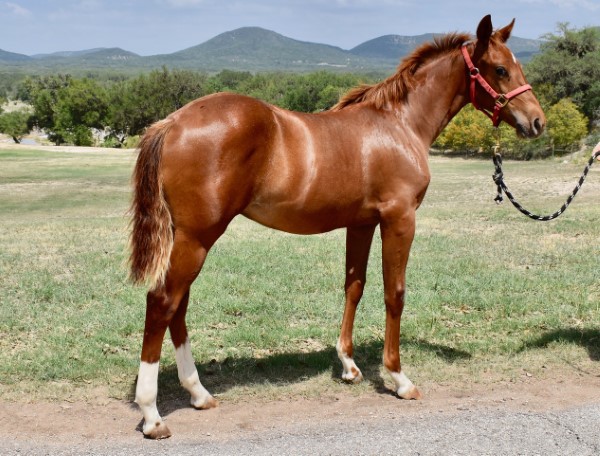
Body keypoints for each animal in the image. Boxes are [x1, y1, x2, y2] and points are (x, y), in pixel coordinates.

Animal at [129, 16, 548, 440]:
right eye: (500, 69)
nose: (537, 122)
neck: (399, 125)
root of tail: (173, 122)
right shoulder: (399, 220)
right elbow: (394, 293)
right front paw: (399, 378)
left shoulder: (361, 223)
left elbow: (354, 286)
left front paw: (348, 365)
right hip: (198, 237)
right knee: (162, 302)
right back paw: (152, 414)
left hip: (189, 238)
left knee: (178, 306)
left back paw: (199, 393)